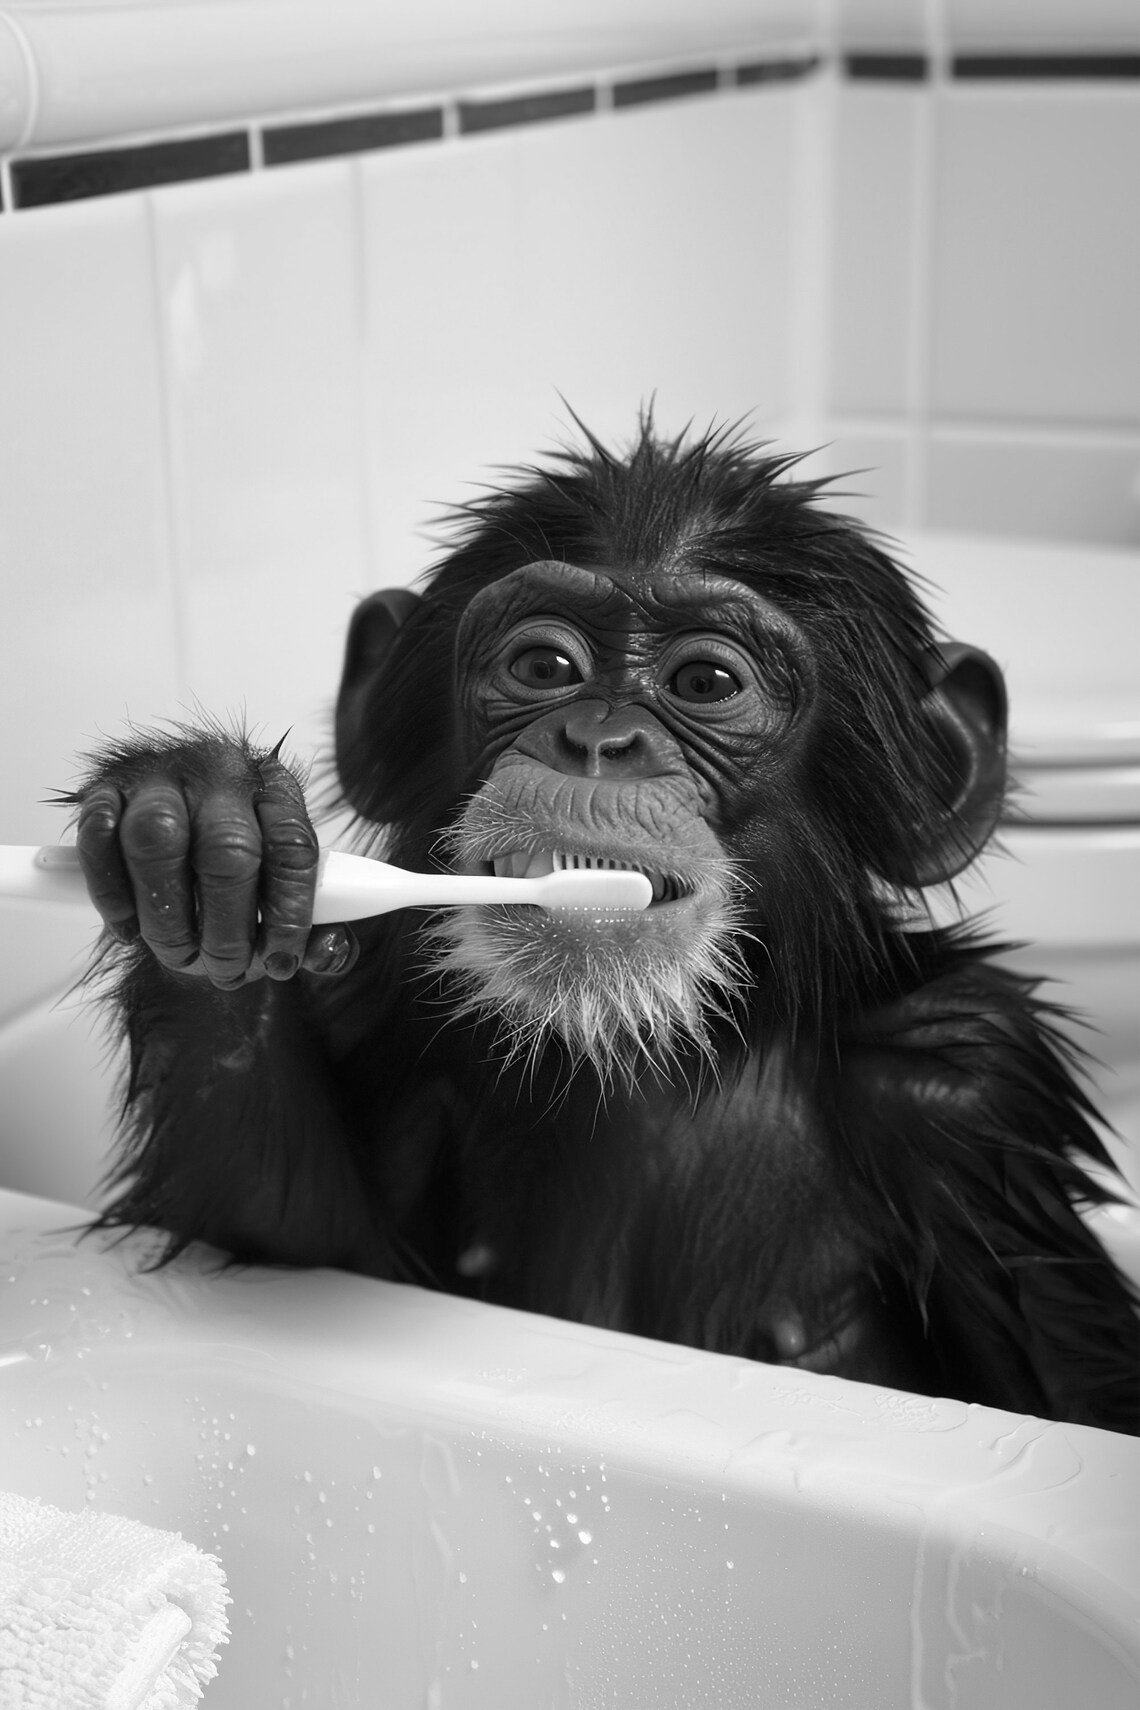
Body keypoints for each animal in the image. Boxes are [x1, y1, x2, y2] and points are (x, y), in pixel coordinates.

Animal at [67, 420, 1138, 1433]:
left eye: (706, 684)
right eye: (544, 664)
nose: (598, 739)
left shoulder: (973, 1094)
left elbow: (1072, 1393)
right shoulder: (382, 1014)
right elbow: (302, 1236)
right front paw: (206, 836)